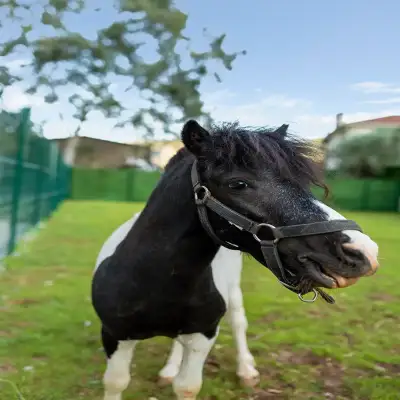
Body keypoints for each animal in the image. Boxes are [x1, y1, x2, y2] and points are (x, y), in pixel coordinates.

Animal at [92, 120, 380, 398]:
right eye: (238, 184)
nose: (363, 252)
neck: (152, 280)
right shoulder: (114, 335)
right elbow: (116, 383)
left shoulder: (203, 335)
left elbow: (187, 386)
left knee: (238, 322)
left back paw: (246, 371)